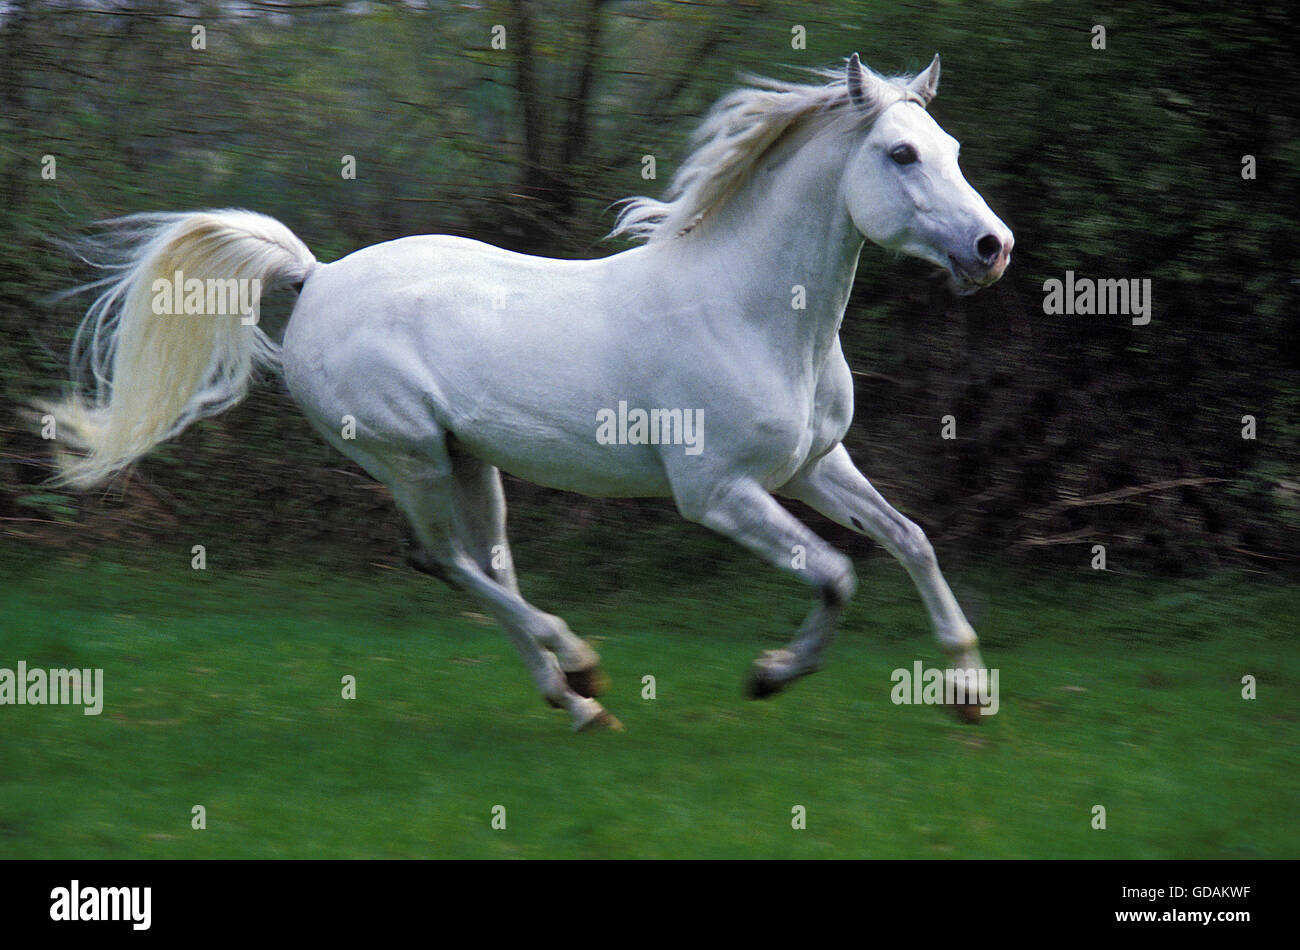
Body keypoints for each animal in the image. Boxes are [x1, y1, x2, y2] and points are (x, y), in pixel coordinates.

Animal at [43, 55, 1013, 732]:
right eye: (899, 154)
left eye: (956, 151)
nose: (992, 248)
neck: (750, 312)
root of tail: (315, 277)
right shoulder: (718, 494)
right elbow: (839, 575)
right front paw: (771, 674)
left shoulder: (813, 465)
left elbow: (911, 541)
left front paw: (966, 690)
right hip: (410, 456)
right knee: (448, 561)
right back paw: (579, 664)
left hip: (469, 462)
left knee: (480, 563)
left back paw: (579, 703)